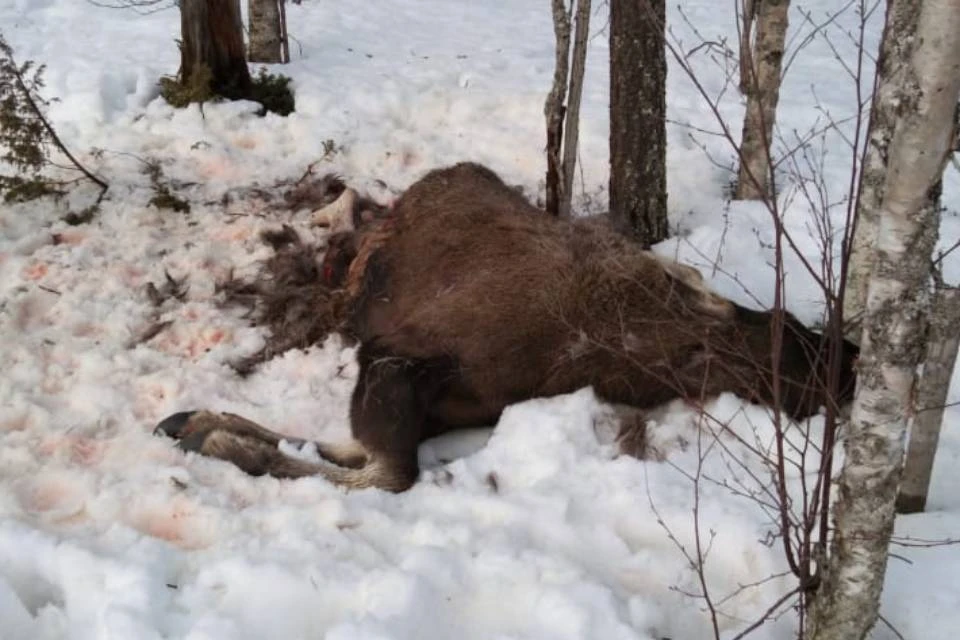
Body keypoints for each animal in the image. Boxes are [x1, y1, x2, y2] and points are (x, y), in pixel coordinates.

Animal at [156, 162, 856, 492]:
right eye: (795, 346)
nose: (850, 361)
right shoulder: (394, 354)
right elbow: (385, 471)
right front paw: (217, 437)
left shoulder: (440, 396)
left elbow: (355, 456)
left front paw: (203, 425)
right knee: (349, 217)